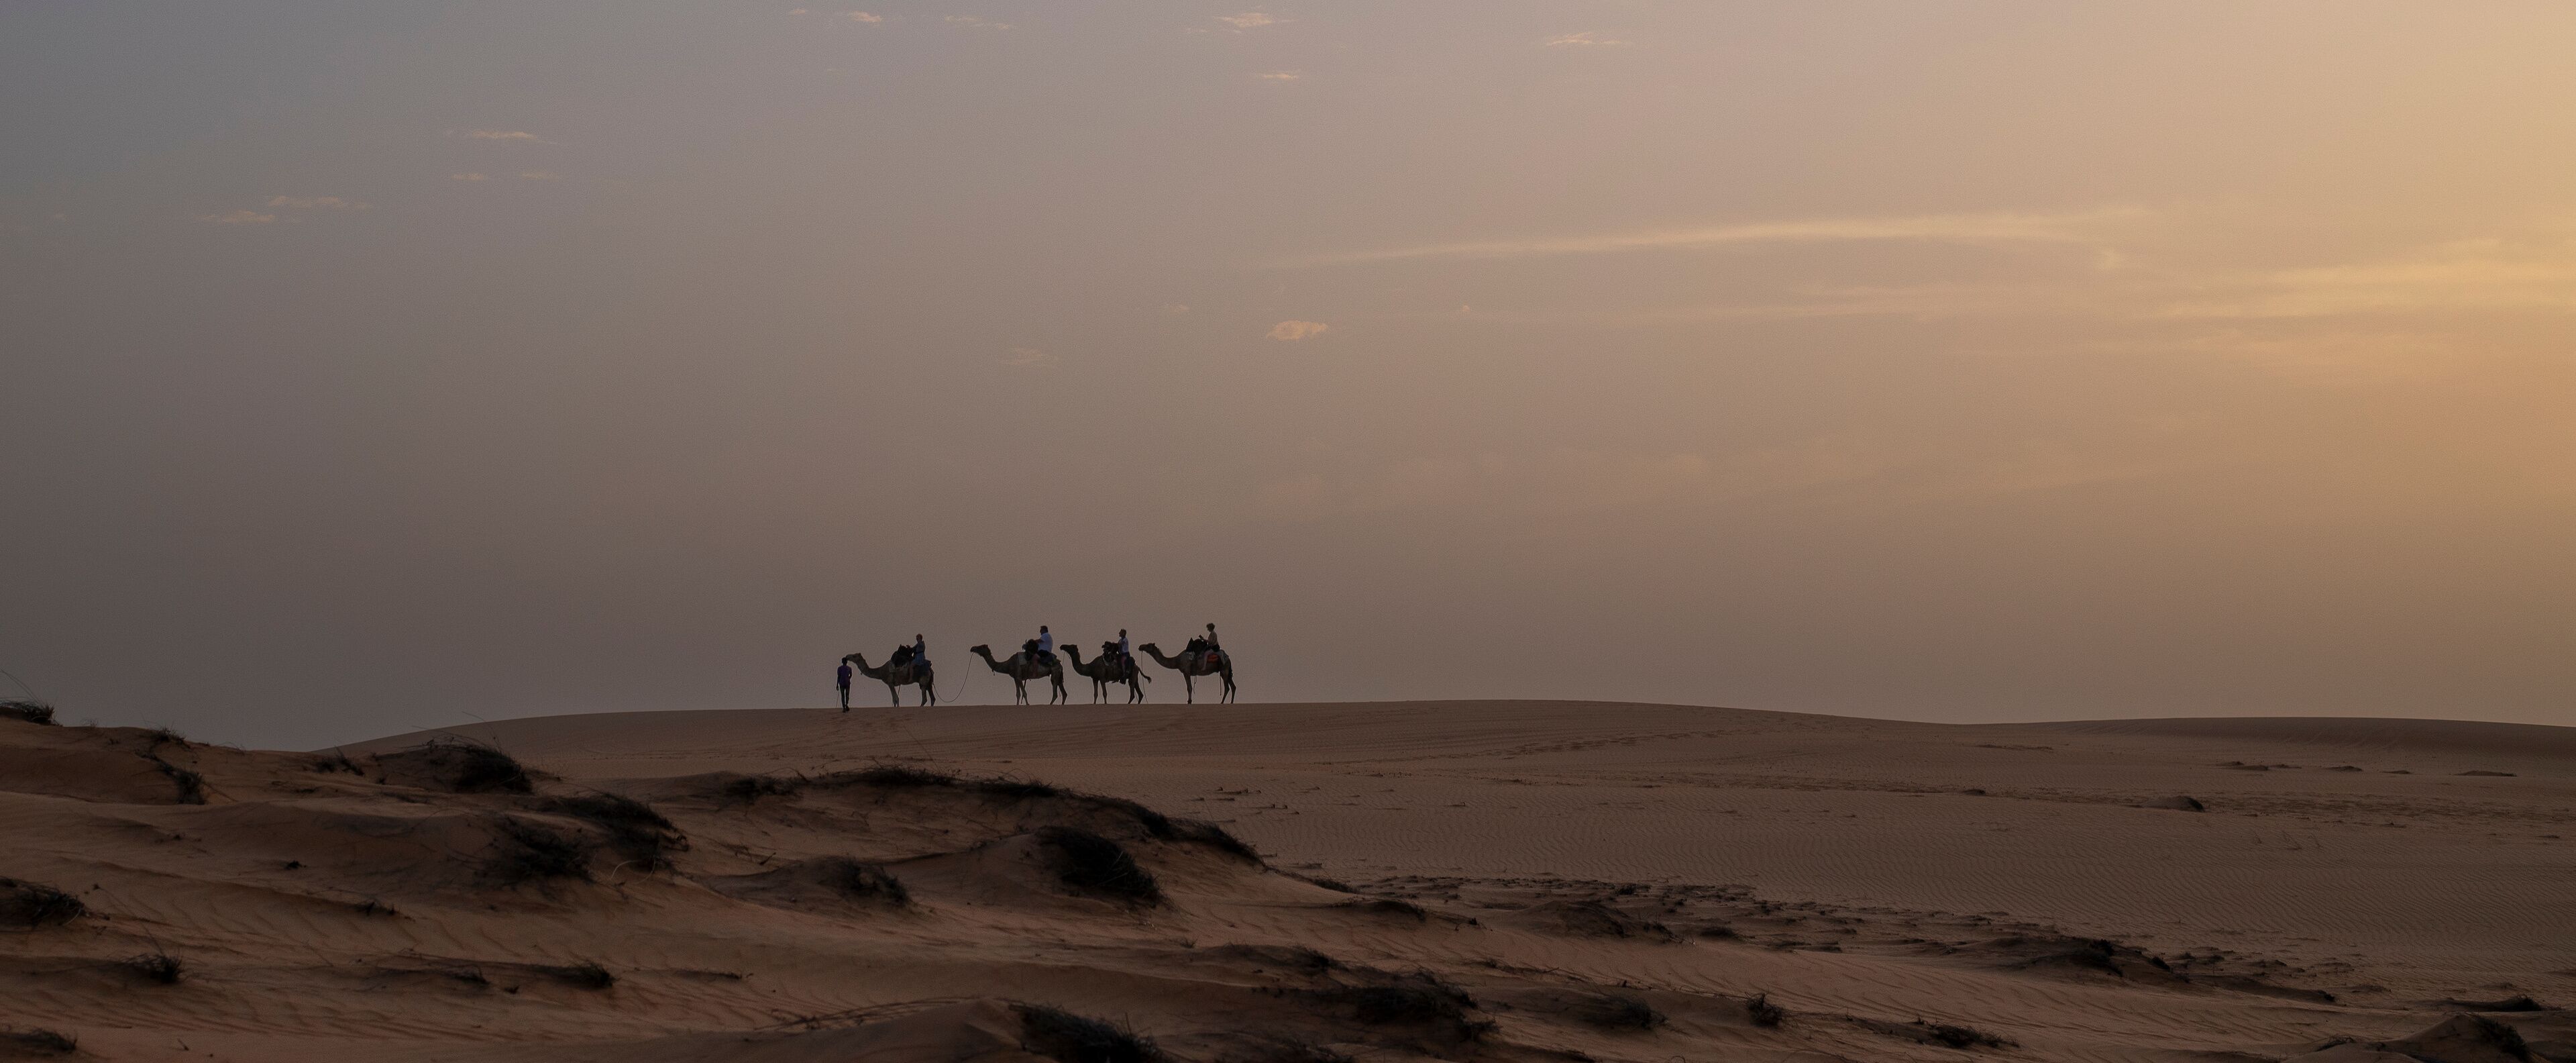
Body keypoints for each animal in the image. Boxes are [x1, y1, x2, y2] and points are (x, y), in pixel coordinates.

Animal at [841, 652, 935, 708]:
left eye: (854, 656)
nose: (847, 656)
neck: (880, 671)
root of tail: (929, 669)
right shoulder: (891, 684)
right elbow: (894, 699)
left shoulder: (890, 683)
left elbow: (896, 699)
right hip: (929, 682)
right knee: (932, 697)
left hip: (923, 680)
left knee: (925, 697)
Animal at [969, 644, 1068, 705]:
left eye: (981, 647)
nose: (972, 648)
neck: (1008, 664)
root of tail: (1060, 664)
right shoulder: (1015, 678)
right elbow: (1018, 694)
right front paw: (1017, 705)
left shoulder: (1019, 677)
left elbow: (1024, 693)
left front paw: (1028, 704)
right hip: (1059, 675)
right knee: (1064, 693)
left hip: (1055, 673)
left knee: (1055, 692)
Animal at [1062, 645, 1150, 704]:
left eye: (1071, 647)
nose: (1062, 646)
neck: (1091, 667)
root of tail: (1138, 667)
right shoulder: (1095, 679)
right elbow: (1095, 694)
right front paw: (1094, 704)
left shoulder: (1102, 678)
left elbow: (1105, 693)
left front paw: (1106, 704)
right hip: (1135, 677)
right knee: (1140, 694)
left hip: (1132, 676)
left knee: (1132, 694)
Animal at [1139, 643, 1235, 704]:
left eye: (1148, 645)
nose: (1140, 646)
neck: (1177, 661)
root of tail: (1228, 658)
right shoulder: (1186, 673)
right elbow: (1189, 688)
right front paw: (1190, 701)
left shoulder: (1186, 672)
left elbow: (1189, 688)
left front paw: (1189, 702)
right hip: (1227, 671)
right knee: (1233, 686)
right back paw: (1231, 702)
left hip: (1224, 670)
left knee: (1227, 688)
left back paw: (1222, 702)